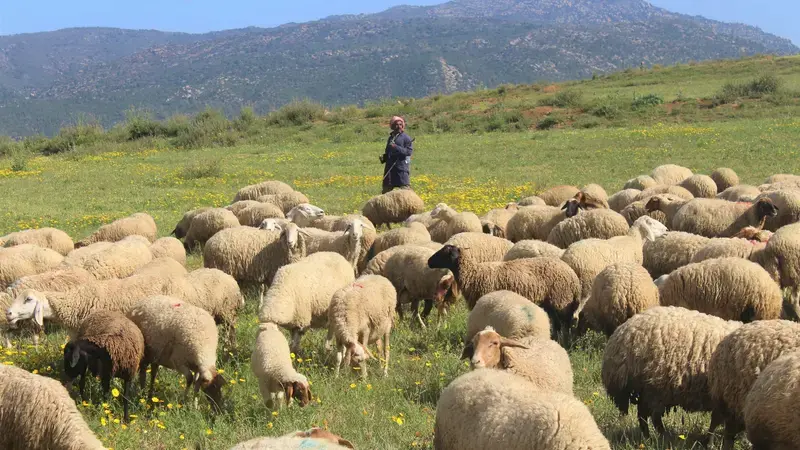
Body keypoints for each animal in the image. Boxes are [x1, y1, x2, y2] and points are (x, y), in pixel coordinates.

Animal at [428, 245, 580, 335]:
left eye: (444, 253)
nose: (429, 262)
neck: (473, 274)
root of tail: (573, 276)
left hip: (561, 300)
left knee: (565, 324)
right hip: (552, 303)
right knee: (558, 324)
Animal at [602, 306, 741, 437]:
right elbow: (716, 423)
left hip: (649, 388)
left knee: (644, 414)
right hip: (654, 387)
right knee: (650, 416)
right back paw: (659, 436)